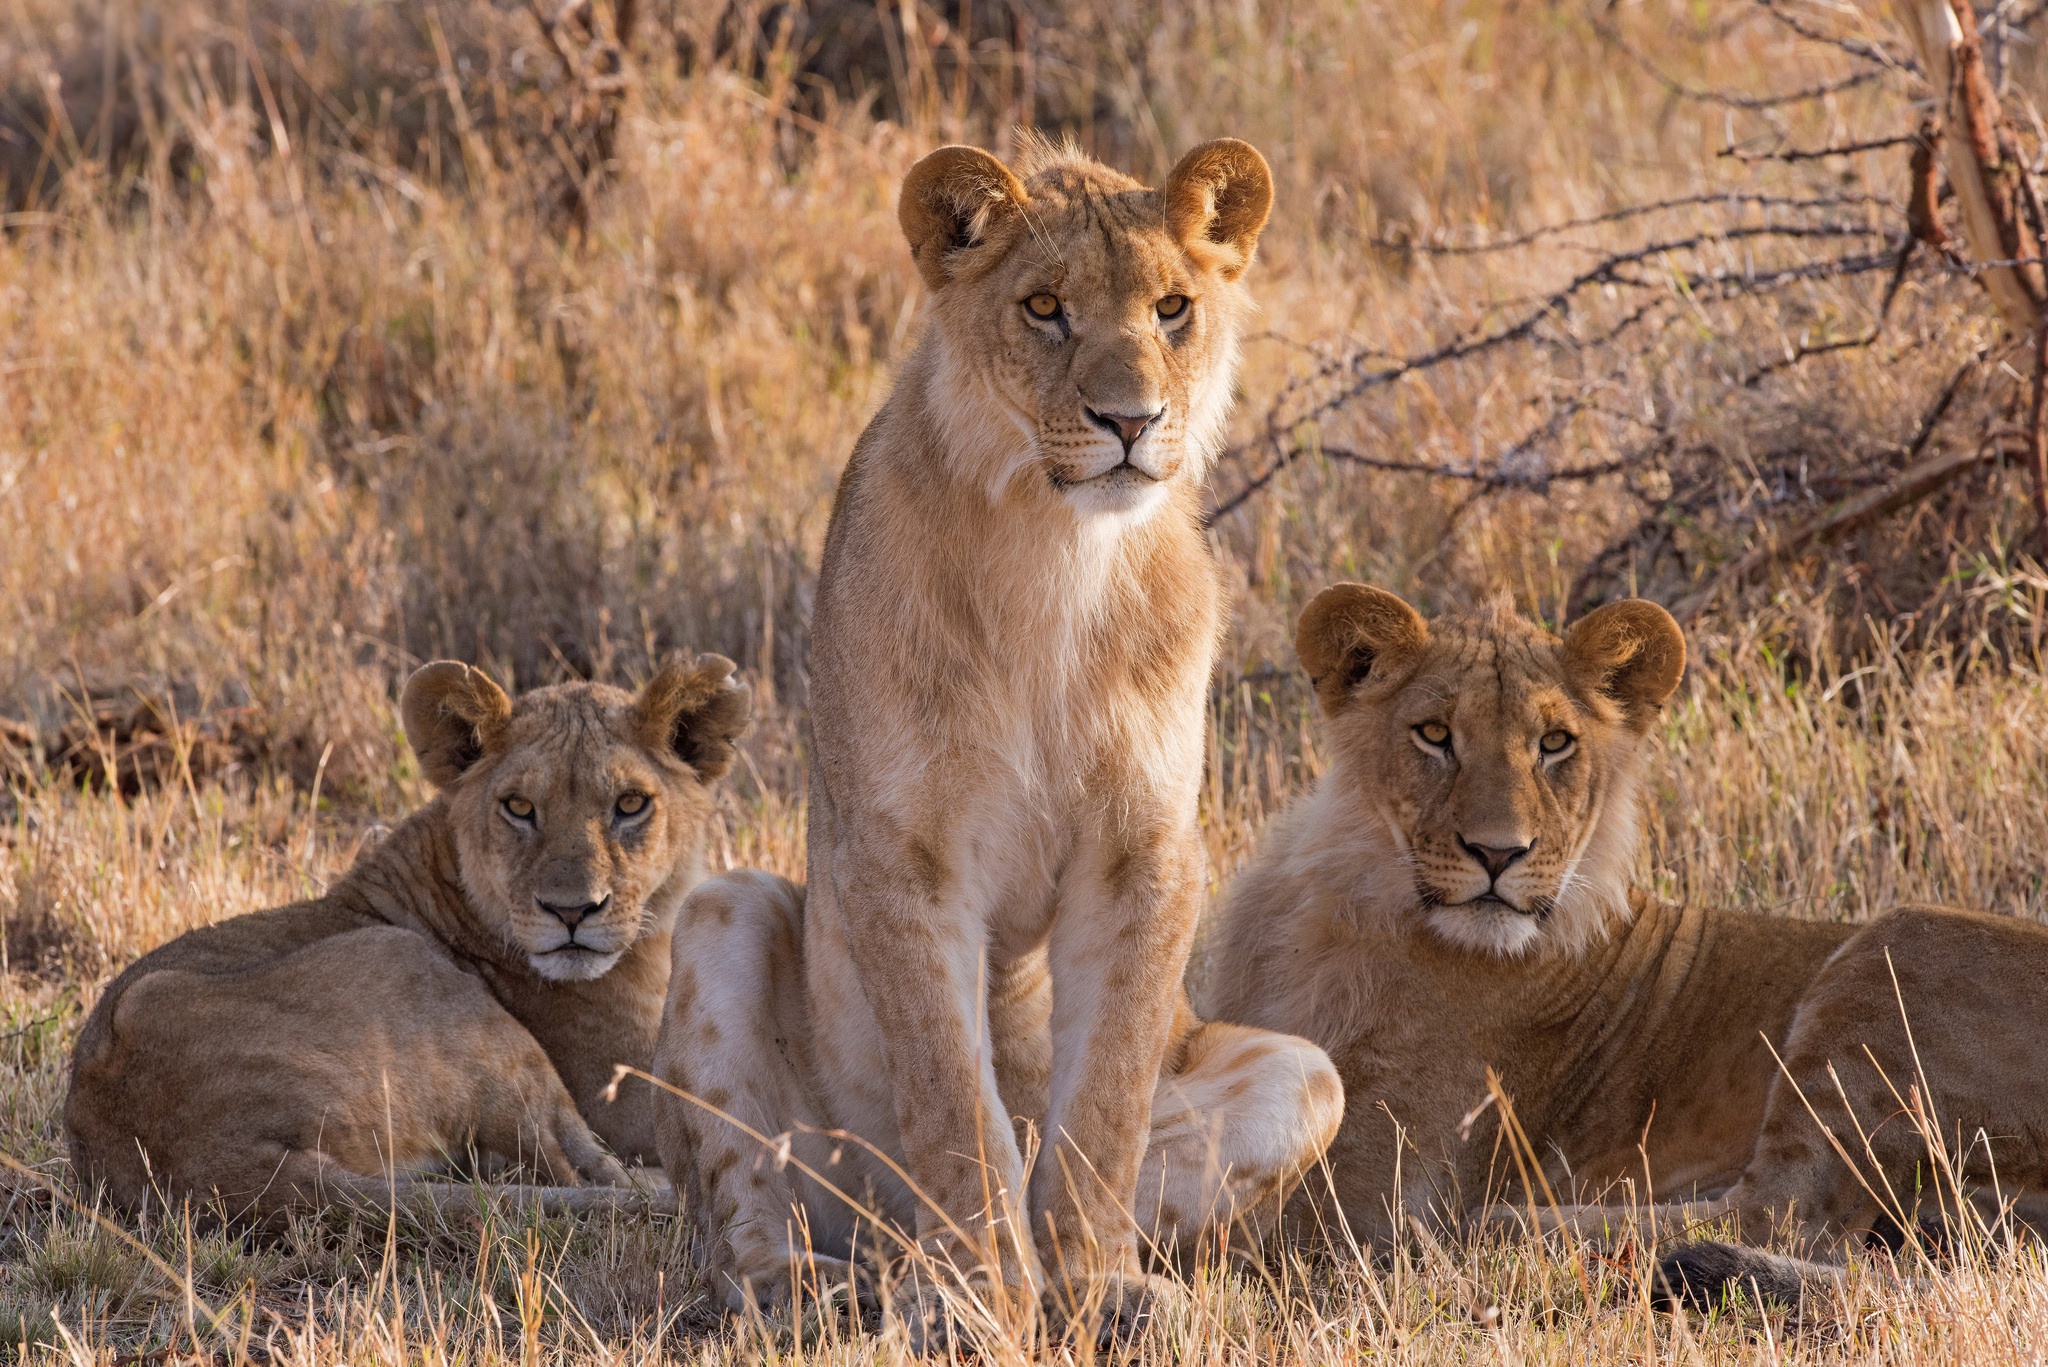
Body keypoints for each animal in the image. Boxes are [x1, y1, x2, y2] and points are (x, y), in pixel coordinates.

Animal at [61, 655, 753, 1221]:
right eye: (519, 807)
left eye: (631, 804)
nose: (572, 911)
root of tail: (220, 1168)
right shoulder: (626, 1089)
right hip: (424, 975)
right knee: (577, 1169)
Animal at [651, 133, 1343, 1352]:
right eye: (1043, 308)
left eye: (1171, 307)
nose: (1130, 421)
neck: (1053, 554)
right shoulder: (901, 856)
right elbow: (954, 1105)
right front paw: (972, 1301)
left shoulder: (1144, 851)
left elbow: (1100, 1107)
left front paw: (1090, 1287)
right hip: (724, 915)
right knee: (752, 1205)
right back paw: (825, 1292)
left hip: (1303, 1073)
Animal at [1204, 590, 2048, 1311]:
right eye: (1434, 734)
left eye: (1555, 744)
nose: (1498, 853)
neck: (1348, 904)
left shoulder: (1375, 1185)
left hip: (1890, 955)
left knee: (1776, 1215)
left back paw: (1504, 1229)